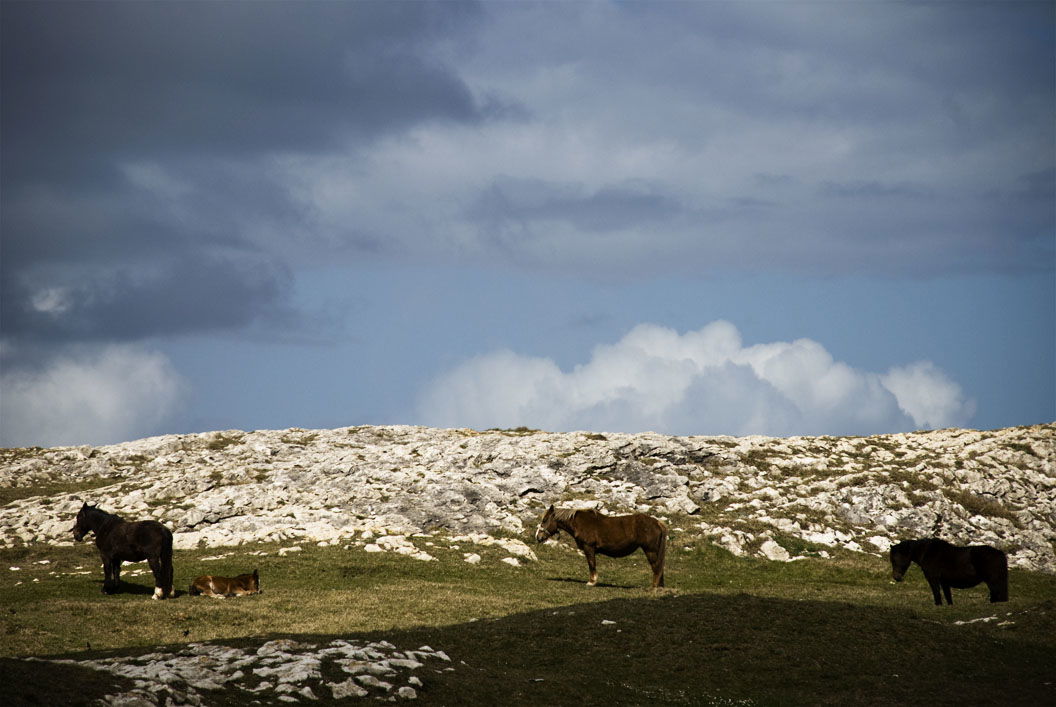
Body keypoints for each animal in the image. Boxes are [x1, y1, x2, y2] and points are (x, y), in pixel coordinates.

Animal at [536, 506, 667, 590]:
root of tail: (657, 523)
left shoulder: (589, 547)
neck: (579, 523)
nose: (538, 537)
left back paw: (654, 587)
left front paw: (591, 582)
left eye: (545, 520)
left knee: (656, 567)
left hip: (650, 550)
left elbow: (591, 564)